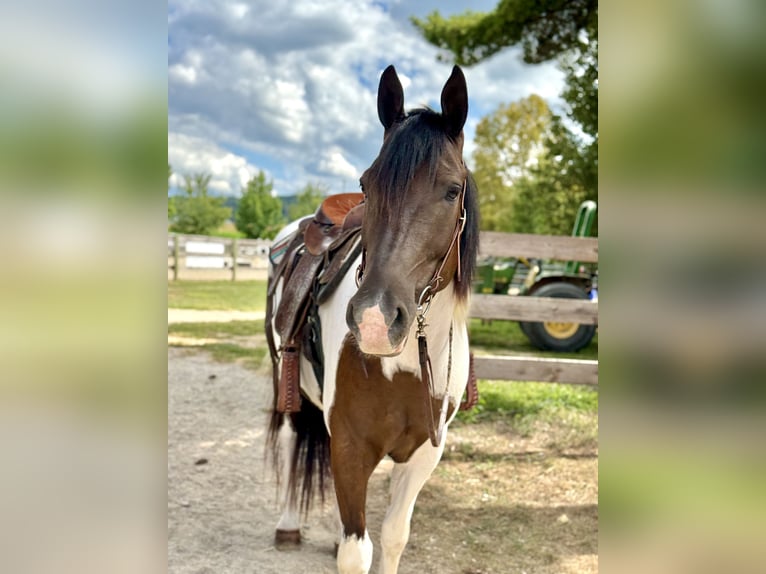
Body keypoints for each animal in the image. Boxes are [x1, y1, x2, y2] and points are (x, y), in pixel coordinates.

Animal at [265, 64, 479, 574]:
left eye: (452, 190)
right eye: (367, 185)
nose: (375, 321)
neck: (405, 366)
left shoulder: (424, 453)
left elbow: (393, 536)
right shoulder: (349, 446)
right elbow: (356, 552)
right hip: (286, 388)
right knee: (289, 444)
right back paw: (288, 525)